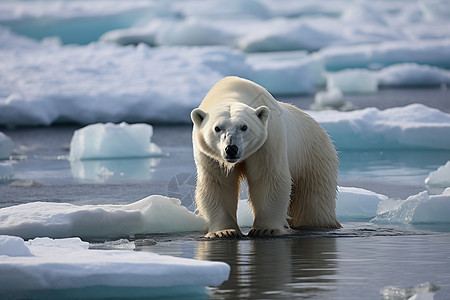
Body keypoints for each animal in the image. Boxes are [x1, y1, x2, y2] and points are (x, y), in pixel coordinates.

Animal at [191, 76, 342, 238]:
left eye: (244, 127)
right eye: (217, 128)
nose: (231, 149)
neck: (231, 91)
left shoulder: (268, 142)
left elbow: (268, 178)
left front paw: (265, 229)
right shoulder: (210, 155)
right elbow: (218, 183)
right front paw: (224, 231)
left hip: (313, 154)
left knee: (314, 198)